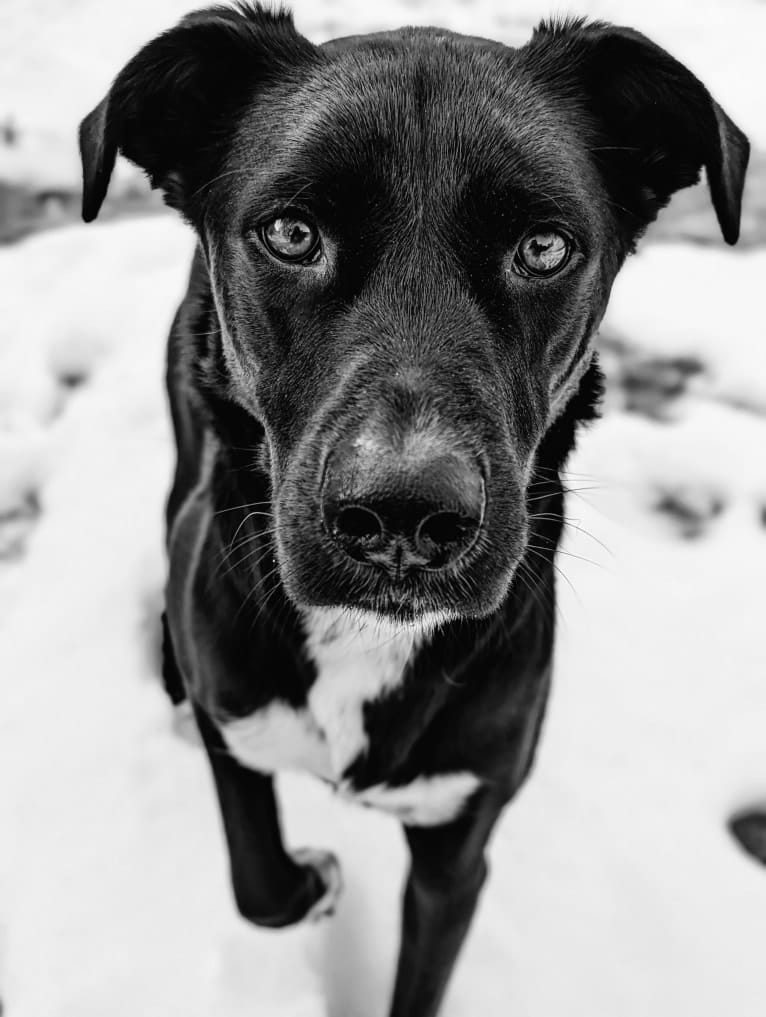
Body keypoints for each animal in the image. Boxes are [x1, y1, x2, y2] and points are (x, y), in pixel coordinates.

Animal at [79, 9, 748, 1016]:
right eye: (291, 232)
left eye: (544, 247)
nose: (403, 517)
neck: (365, 640)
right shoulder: (233, 724)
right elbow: (258, 881)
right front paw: (314, 883)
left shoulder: (457, 848)